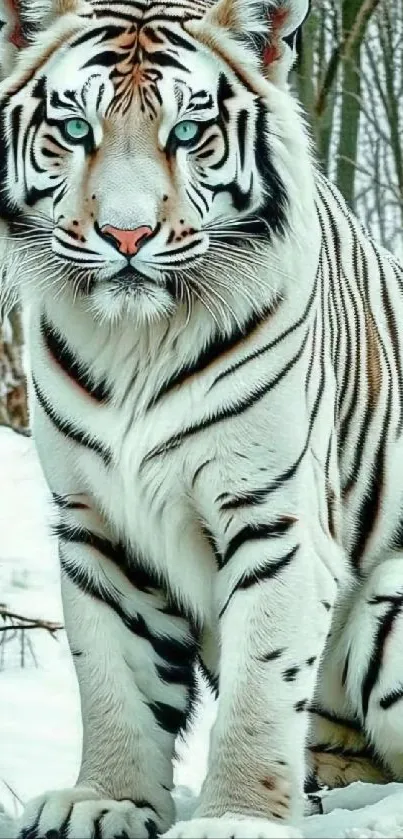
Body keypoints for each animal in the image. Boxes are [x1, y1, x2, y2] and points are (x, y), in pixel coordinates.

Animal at [0, 0, 403, 836]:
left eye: (187, 132)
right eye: (77, 129)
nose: (124, 236)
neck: (136, 340)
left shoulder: (274, 515)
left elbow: (261, 685)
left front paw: (236, 817)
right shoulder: (95, 522)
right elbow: (112, 675)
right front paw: (106, 799)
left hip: (389, 595)